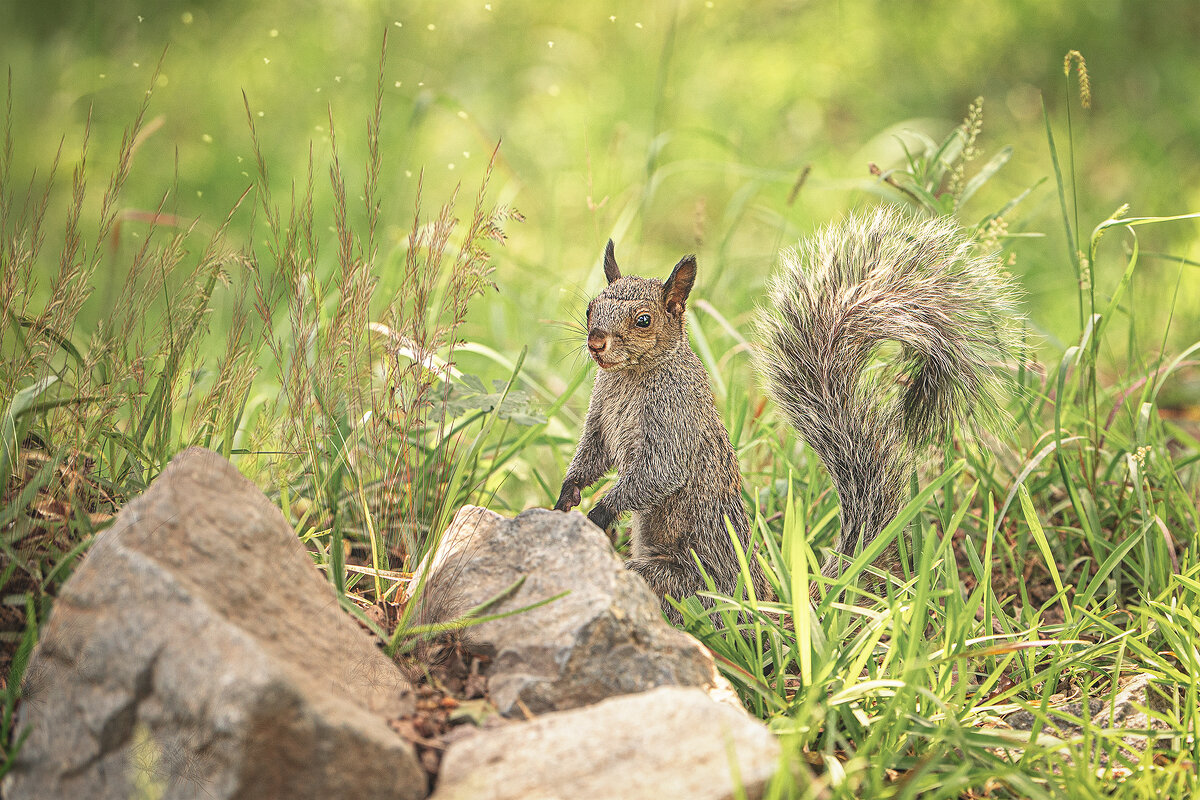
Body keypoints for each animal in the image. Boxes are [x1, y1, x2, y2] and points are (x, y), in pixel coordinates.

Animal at [554, 207, 1022, 623]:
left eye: (644, 320)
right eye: (591, 308)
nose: (596, 343)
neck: (630, 376)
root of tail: (762, 613)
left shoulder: (674, 420)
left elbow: (658, 474)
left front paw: (599, 514)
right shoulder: (600, 416)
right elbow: (592, 456)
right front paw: (566, 497)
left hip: (681, 586)